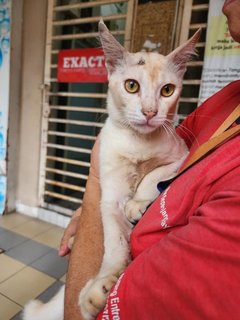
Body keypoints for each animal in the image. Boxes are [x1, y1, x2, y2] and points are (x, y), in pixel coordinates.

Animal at [23, 21, 201, 320]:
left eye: (167, 90)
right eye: (131, 86)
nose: (150, 112)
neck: (138, 143)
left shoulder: (182, 155)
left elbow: (153, 175)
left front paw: (137, 203)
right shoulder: (109, 196)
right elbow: (115, 243)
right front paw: (99, 287)